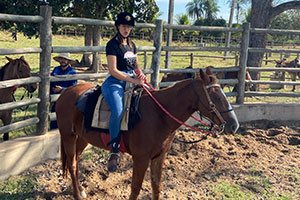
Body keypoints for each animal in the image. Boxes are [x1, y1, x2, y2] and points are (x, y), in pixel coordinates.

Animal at [55, 67, 239, 200]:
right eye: (216, 97)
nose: (234, 125)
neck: (159, 114)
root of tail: (65, 92)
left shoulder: (159, 156)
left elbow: (156, 186)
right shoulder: (141, 159)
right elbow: (135, 189)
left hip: (82, 138)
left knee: (76, 160)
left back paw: (80, 189)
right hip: (68, 136)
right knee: (72, 163)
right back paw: (77, 194)